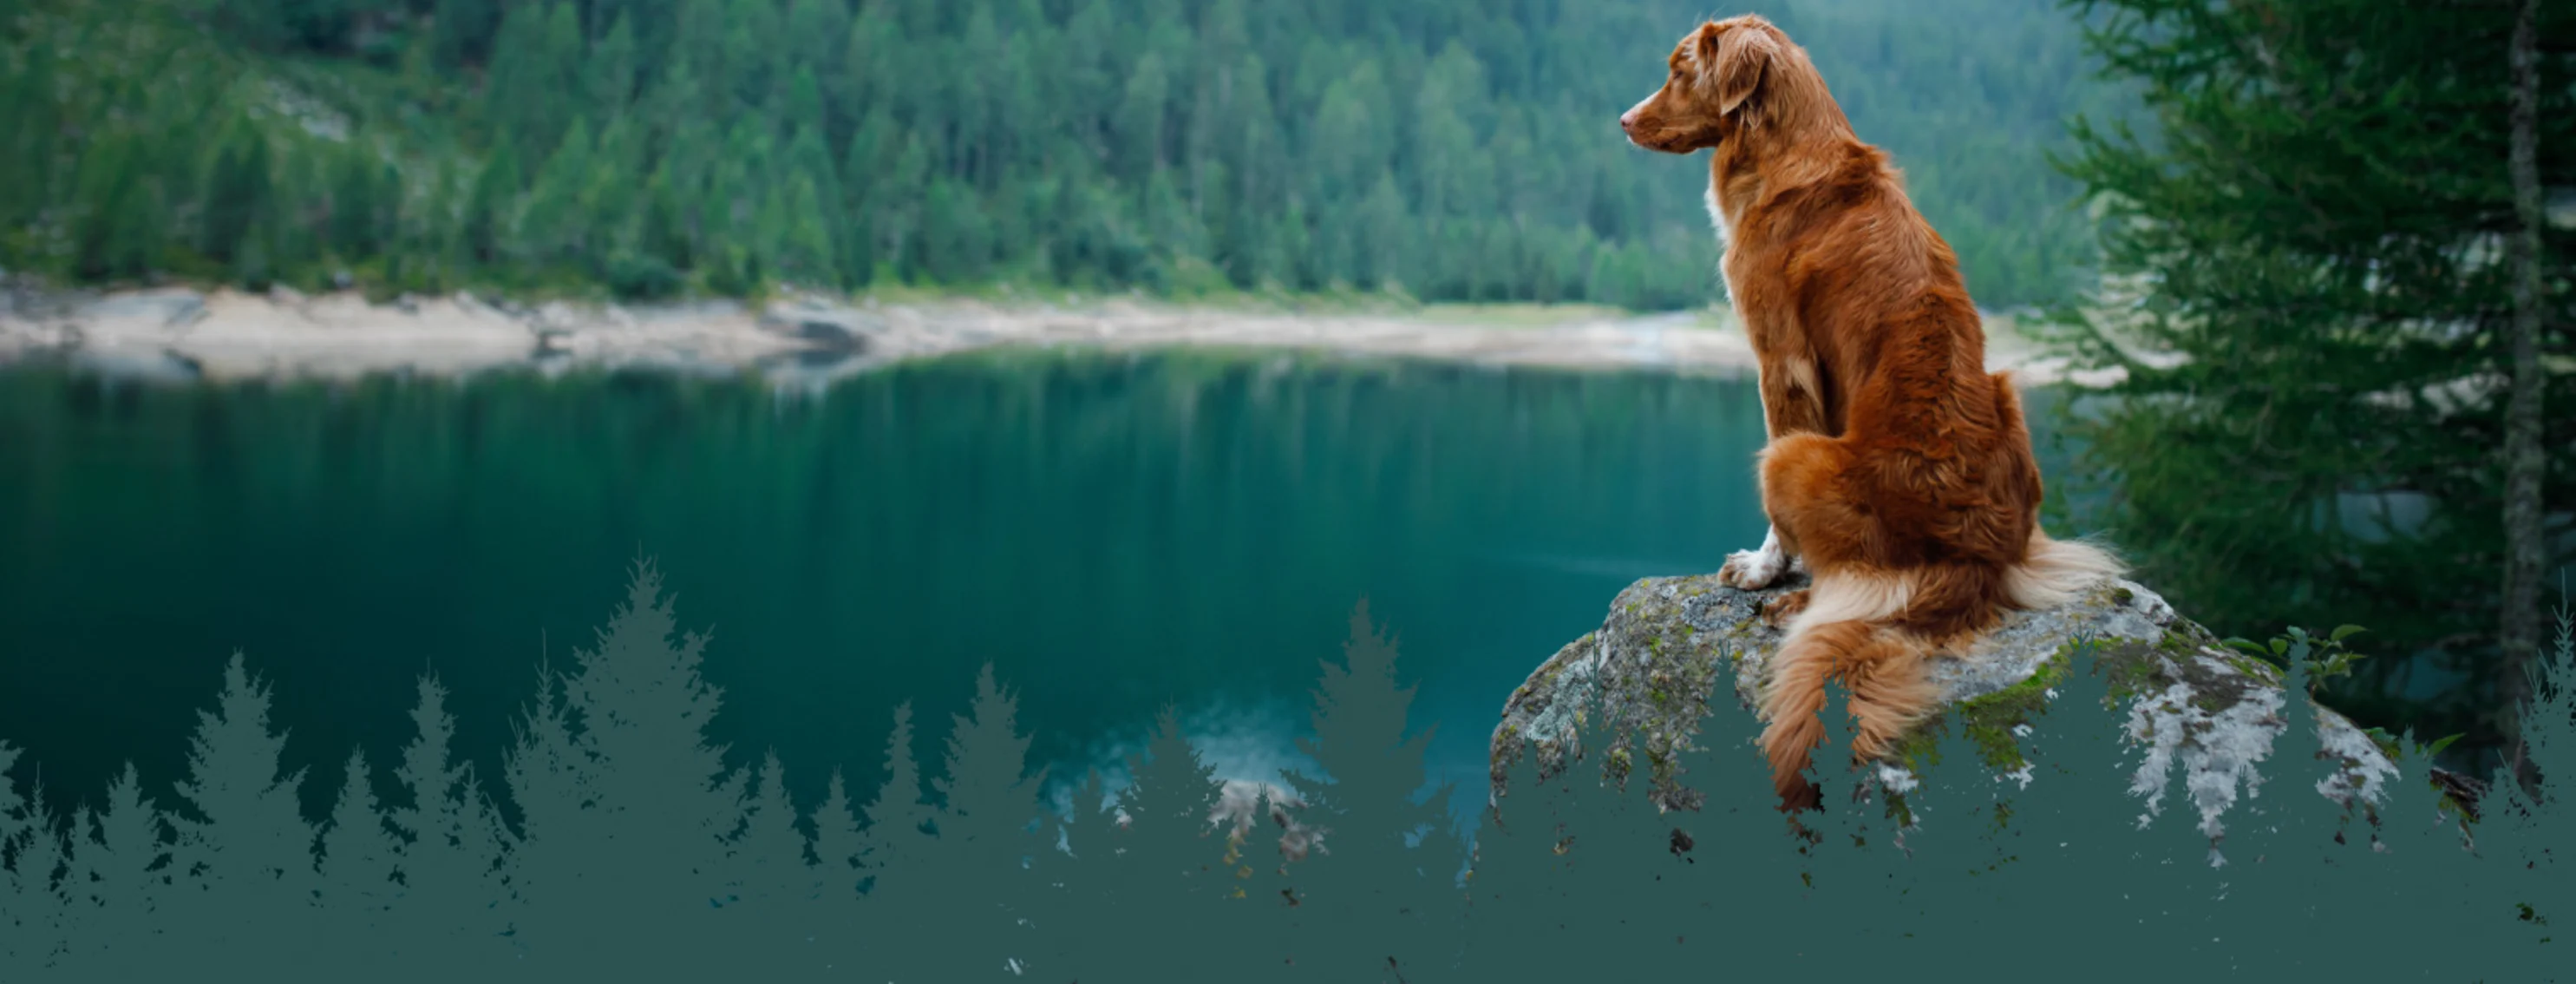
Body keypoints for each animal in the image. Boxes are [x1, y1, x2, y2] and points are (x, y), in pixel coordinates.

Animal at [1618, 15, 2122, 814]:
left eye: (1677, 69)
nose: (1624, 119)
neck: (1786, 149)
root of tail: (1973, 565)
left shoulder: (1780, 357)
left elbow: (1782, 521)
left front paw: (1763, 569)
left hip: (1793, 461)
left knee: (1860, 588)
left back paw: (1799, 605)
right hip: (2009, 394)